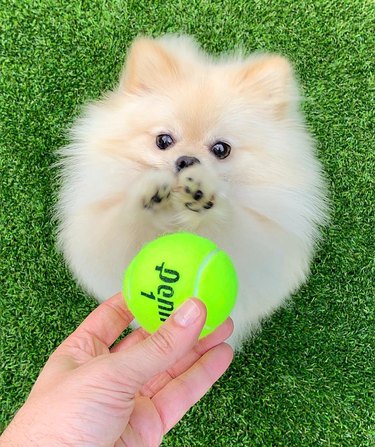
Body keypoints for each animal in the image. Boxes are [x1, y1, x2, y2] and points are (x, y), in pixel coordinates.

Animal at [56, 36, 328, 350]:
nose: (186, 160)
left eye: (221, 149)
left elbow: (232, 226)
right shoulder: (102, 236)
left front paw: (206, 199)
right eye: (163, 141)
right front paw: (149, 198)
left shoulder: (260, 246)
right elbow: (125, 226)